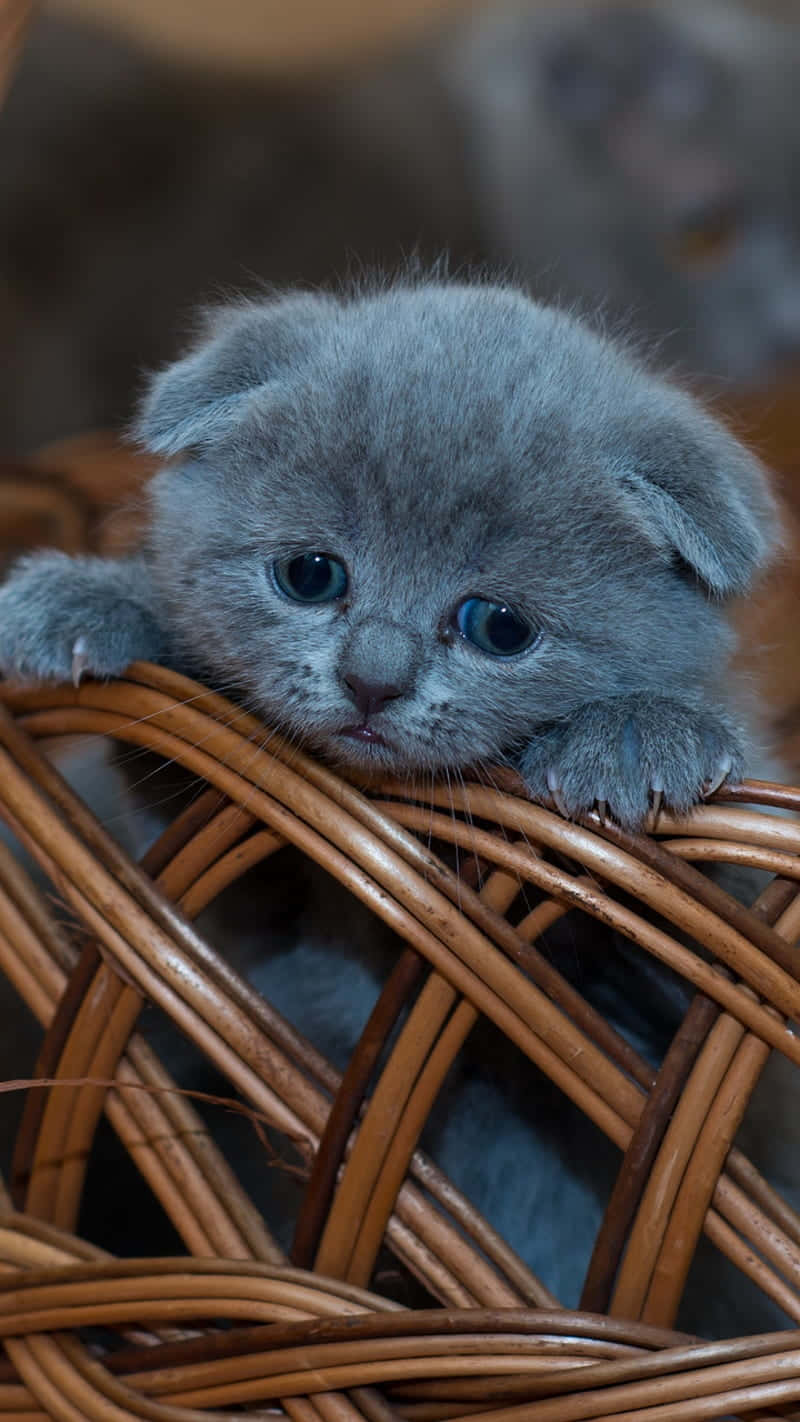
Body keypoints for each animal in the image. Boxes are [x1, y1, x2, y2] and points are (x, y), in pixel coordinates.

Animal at [0, 277, 790, 1330]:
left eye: (499, 626)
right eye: (310, 574)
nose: (373, 680)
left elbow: (704, 957)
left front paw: (636, 733)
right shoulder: (255, 926)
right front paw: (102, 600)